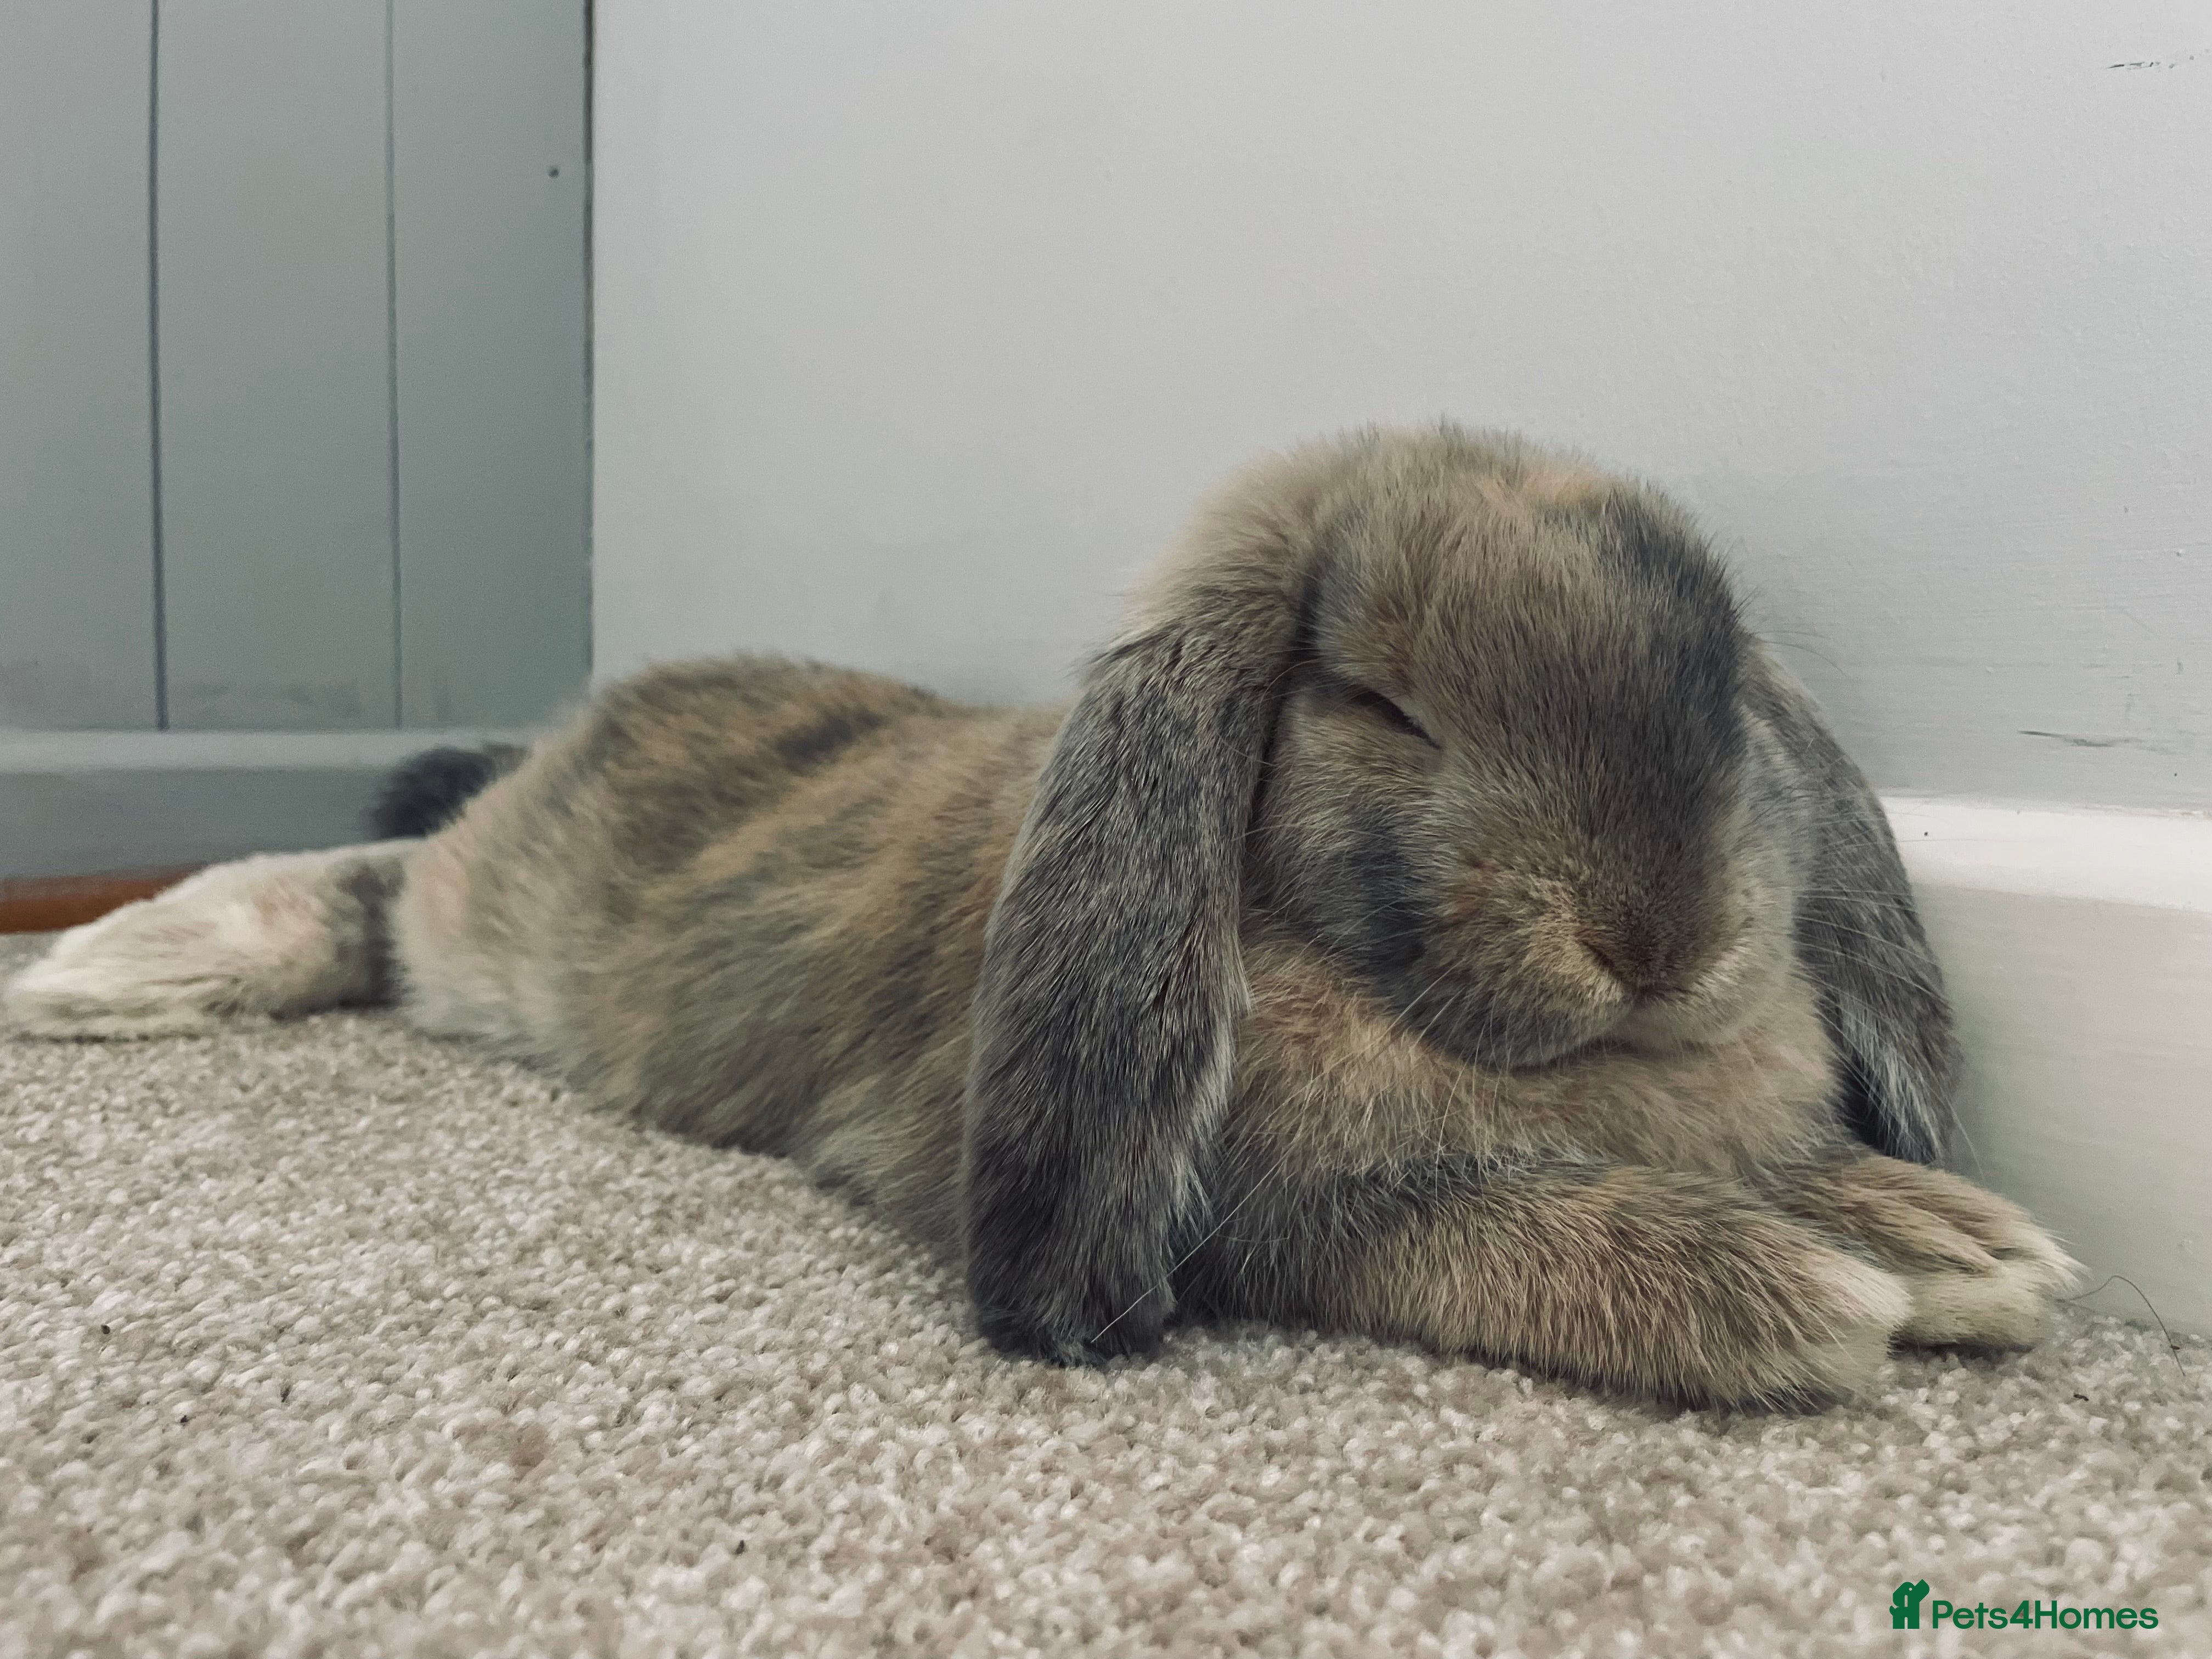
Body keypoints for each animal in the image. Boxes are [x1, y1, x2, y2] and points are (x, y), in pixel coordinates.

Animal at [4, 424, 2077, 1408]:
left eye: (1728, 683)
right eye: (1382, 706)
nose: (1661, 939)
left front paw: (1955, 1241)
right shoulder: (1273, 1217)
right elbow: (1485, 1224)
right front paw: (1804, 1294)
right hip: (487, 913)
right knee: (367, 888)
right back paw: (103, 972)